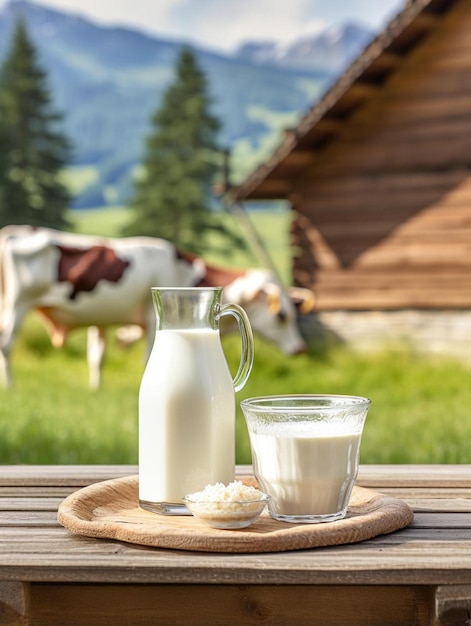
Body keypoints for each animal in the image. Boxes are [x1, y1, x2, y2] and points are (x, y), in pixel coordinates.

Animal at [0, 227, 318, 388]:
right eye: (282, 315)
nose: (301, 348)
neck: (182, 272)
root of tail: (15, 231)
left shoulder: (108, 321)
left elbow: (97, 357)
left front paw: (96, 388)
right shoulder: (151, 320)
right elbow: (142, 359)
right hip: (18, 303)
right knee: (6, 344)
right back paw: (10, 388)